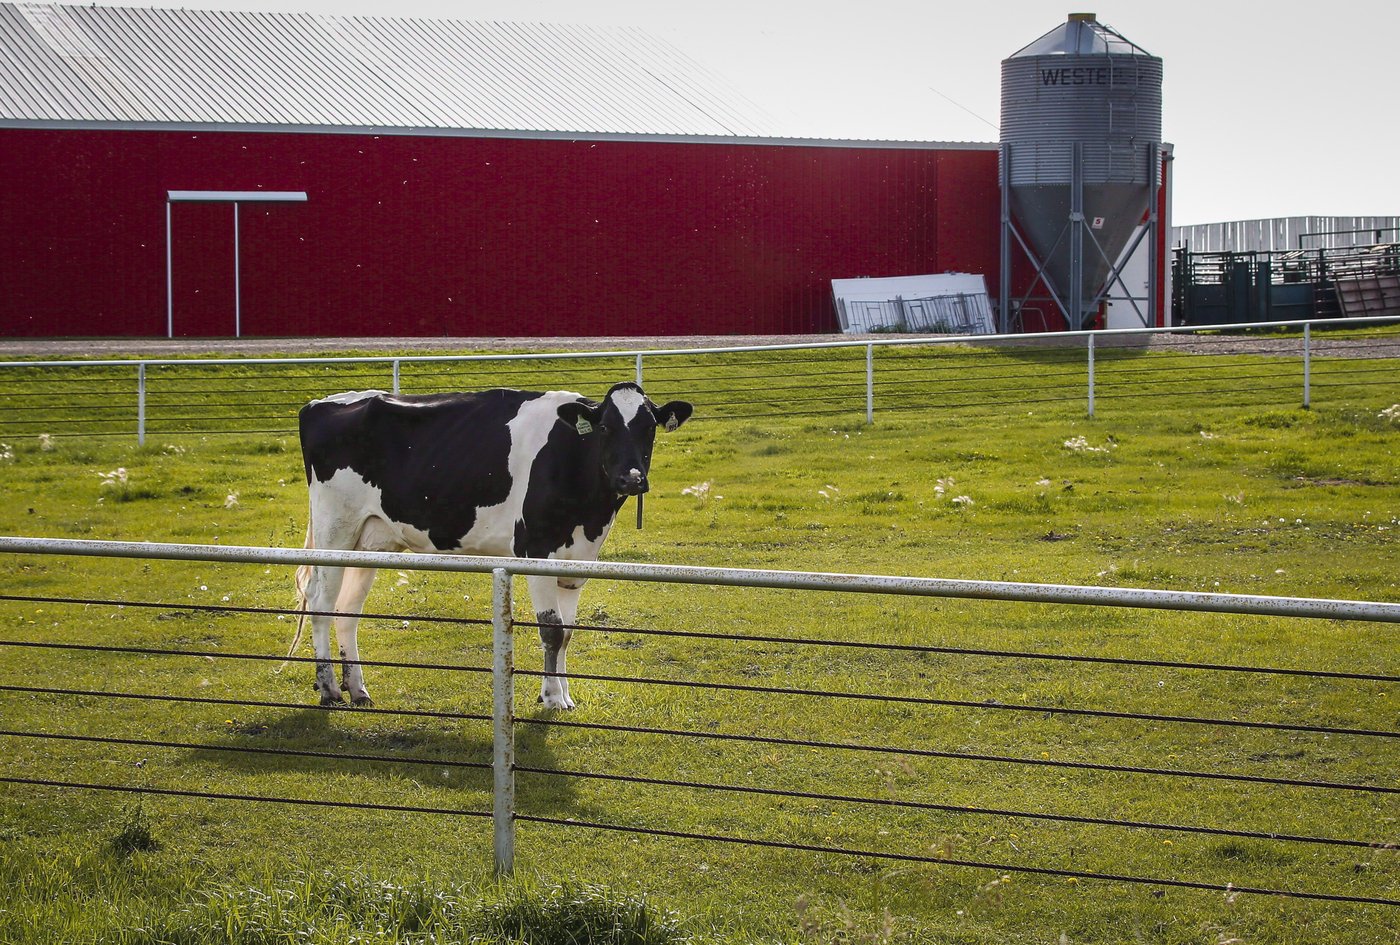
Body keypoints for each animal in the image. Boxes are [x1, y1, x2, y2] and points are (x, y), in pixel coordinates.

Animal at [290, 382, 692, 710]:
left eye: (649, 428)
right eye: (606, 427)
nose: (631, 478)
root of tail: (320, 402)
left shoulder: (577, 561)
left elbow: (567, 633)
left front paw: (563, 694)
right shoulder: (537, 550)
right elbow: (551, 631)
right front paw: (552, 699)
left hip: (370, 541)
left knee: (347, 609)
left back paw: (358, 690)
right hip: (335, 528)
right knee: (321, 599)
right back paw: (329, 689)